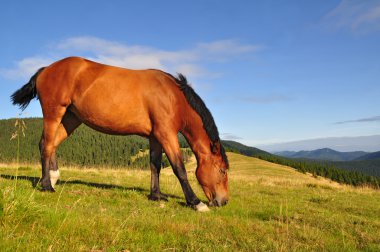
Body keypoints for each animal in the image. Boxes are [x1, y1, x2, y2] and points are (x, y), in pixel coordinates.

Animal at [11, 56, 229, 211]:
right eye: (222, 170)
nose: (224, 201)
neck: (173, 96)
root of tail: (46, 69)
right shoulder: (167, 134)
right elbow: (179, 168)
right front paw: (195, 202)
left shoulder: (155, 137)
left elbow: (155, 166)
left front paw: (156, 195)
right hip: (54, 112)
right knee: (46, 145)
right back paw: (47, 185)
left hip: (71, 118)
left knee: (52, 143)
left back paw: (53, 177)